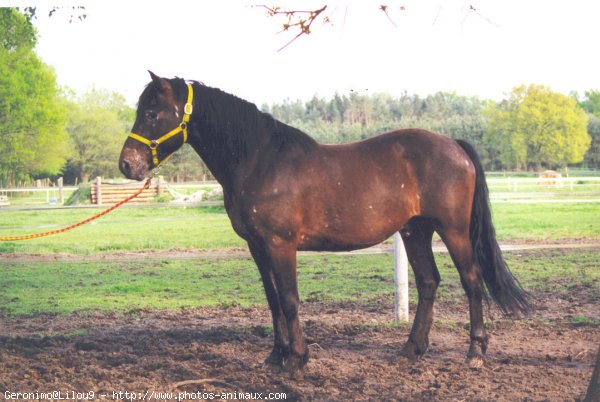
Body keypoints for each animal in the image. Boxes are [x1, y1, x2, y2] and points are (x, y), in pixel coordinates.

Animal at [118, 71, 528, 376]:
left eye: (152, 113)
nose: (127, 164)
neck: (260, 160)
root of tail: (454, 144)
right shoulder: (257, 246)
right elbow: (272, 300)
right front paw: (276, 357)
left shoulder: (281, 244)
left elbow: (289, 298)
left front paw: (298, 360)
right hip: (415, 230)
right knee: (429, 282)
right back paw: (411, 351)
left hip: (453, 230)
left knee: (472, 281)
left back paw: (475, 354)